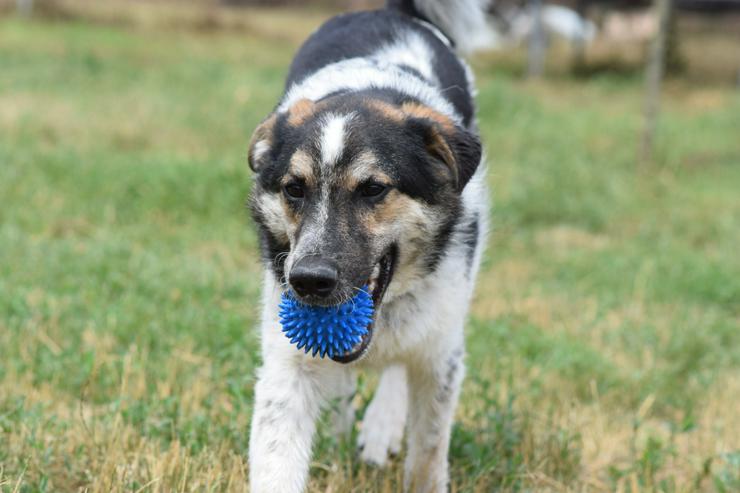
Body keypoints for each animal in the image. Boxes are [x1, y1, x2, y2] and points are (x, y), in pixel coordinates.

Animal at [247, 1, 492, 490]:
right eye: (294, 189)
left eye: (374, 189)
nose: (309, 281)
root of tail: (392, 11)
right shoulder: (286, 361)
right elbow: (277, 457)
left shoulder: (441, 353)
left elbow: (427, 455)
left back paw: (381, 428)